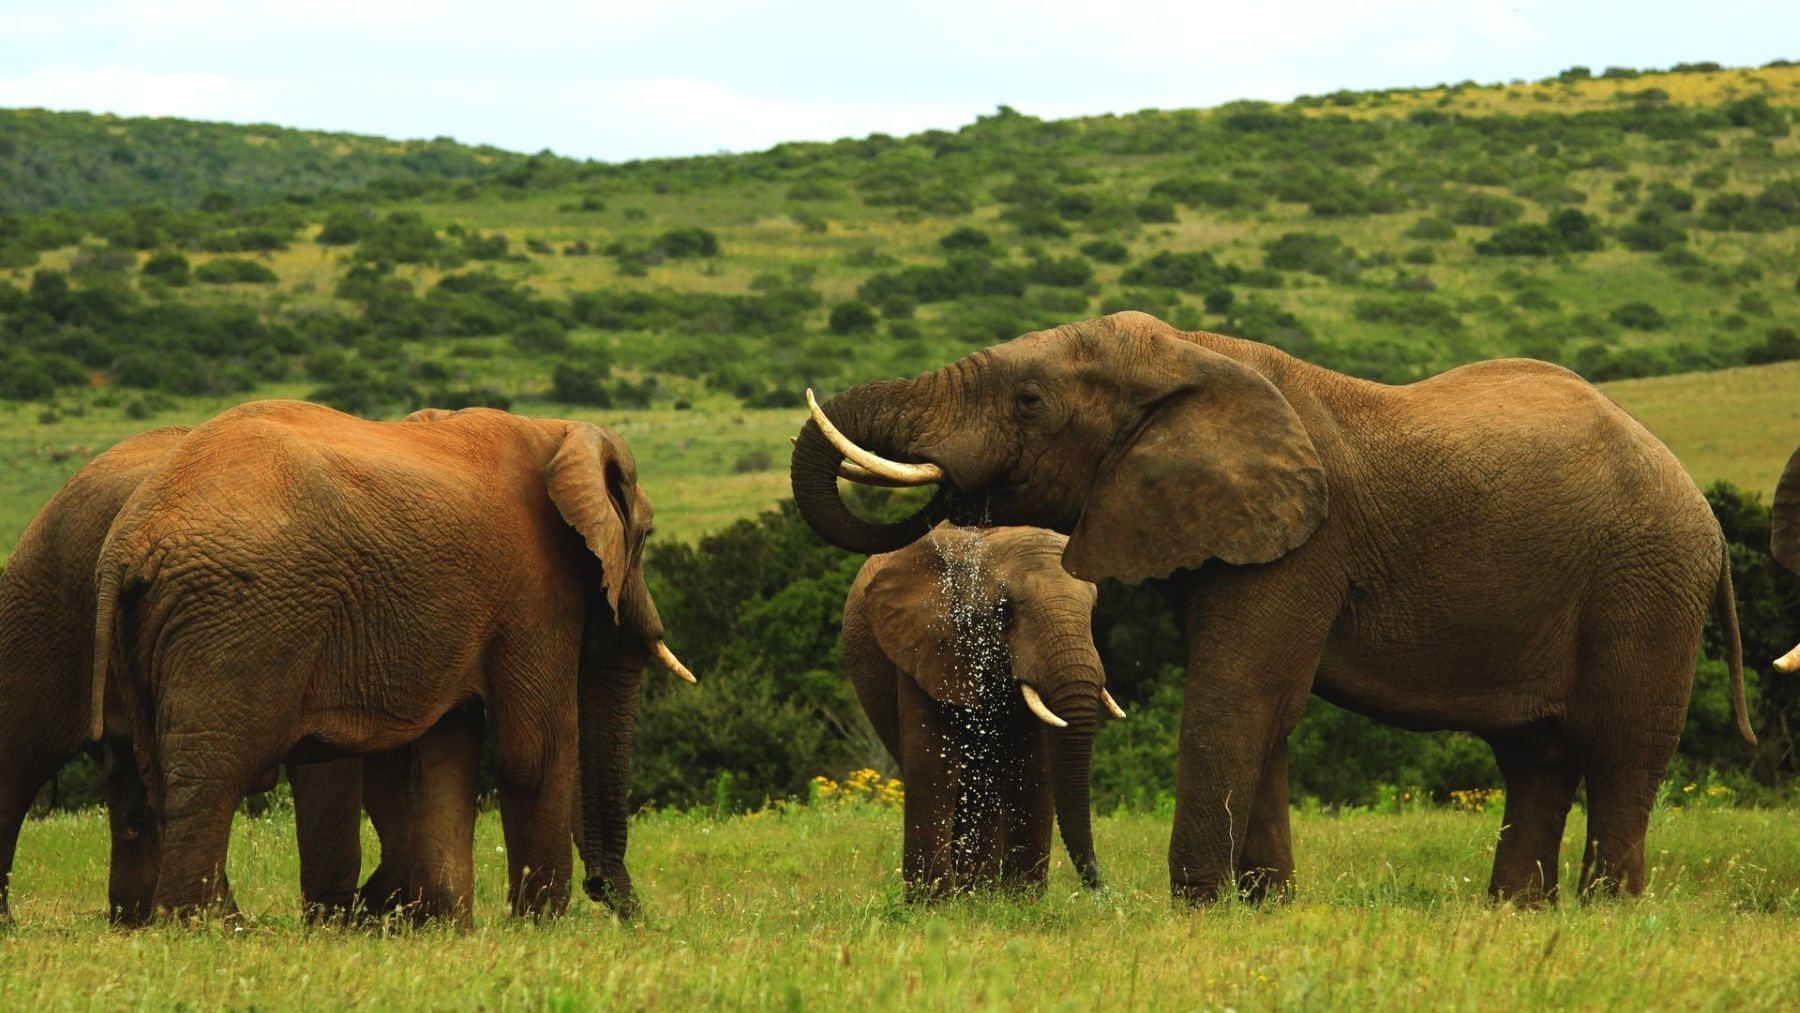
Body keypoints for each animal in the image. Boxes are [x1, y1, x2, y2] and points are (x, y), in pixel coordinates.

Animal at [91, 400, 690, 920]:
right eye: (646, 536)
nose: (610, 897)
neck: (556, 432)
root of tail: (128, 543)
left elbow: (445, 754)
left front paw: (449, 926)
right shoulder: (533, 585)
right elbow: (533, 753)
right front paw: (540, 929)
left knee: (161, 776)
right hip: (238, 616)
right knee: (213, 774)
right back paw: (210, 928)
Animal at [842, 524, 1125, 899]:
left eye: (1093, 609)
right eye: (1003, 611)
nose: (1101, 888)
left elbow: (1033, 767)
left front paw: (1022, 902)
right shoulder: (924, 641)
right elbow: (933, 764)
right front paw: (930, 903)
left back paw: (980, 892)